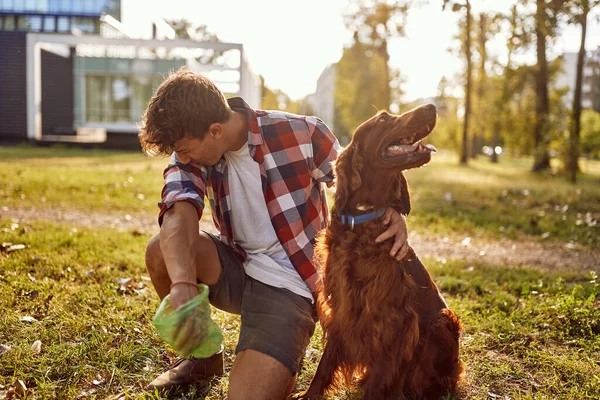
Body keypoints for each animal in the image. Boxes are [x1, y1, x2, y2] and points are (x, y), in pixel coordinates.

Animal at [296, 104, 464, 398]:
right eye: (384, 119)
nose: (432, 106)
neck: (364, 222)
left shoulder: (395, 323)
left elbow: (377, 379)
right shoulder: (343, 308)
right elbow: (325, 365)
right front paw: (309, 395)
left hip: (442, 322)